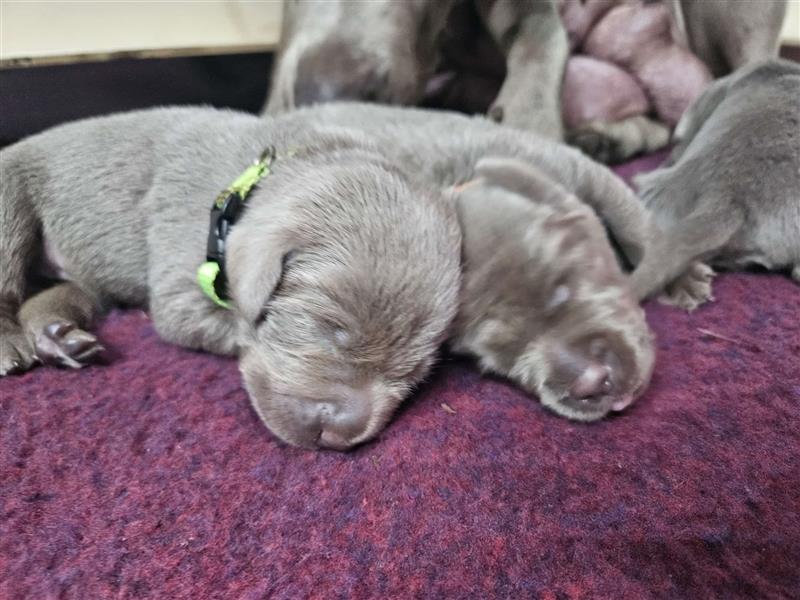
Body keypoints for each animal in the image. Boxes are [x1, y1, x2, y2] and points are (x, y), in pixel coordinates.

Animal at [0, 106, 462, 450]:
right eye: (329, 329)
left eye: (415, 372)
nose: (338, 435)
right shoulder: (180, 286)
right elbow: (232, 325)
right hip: (10, 199)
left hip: (80, 283)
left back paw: (59, 338)